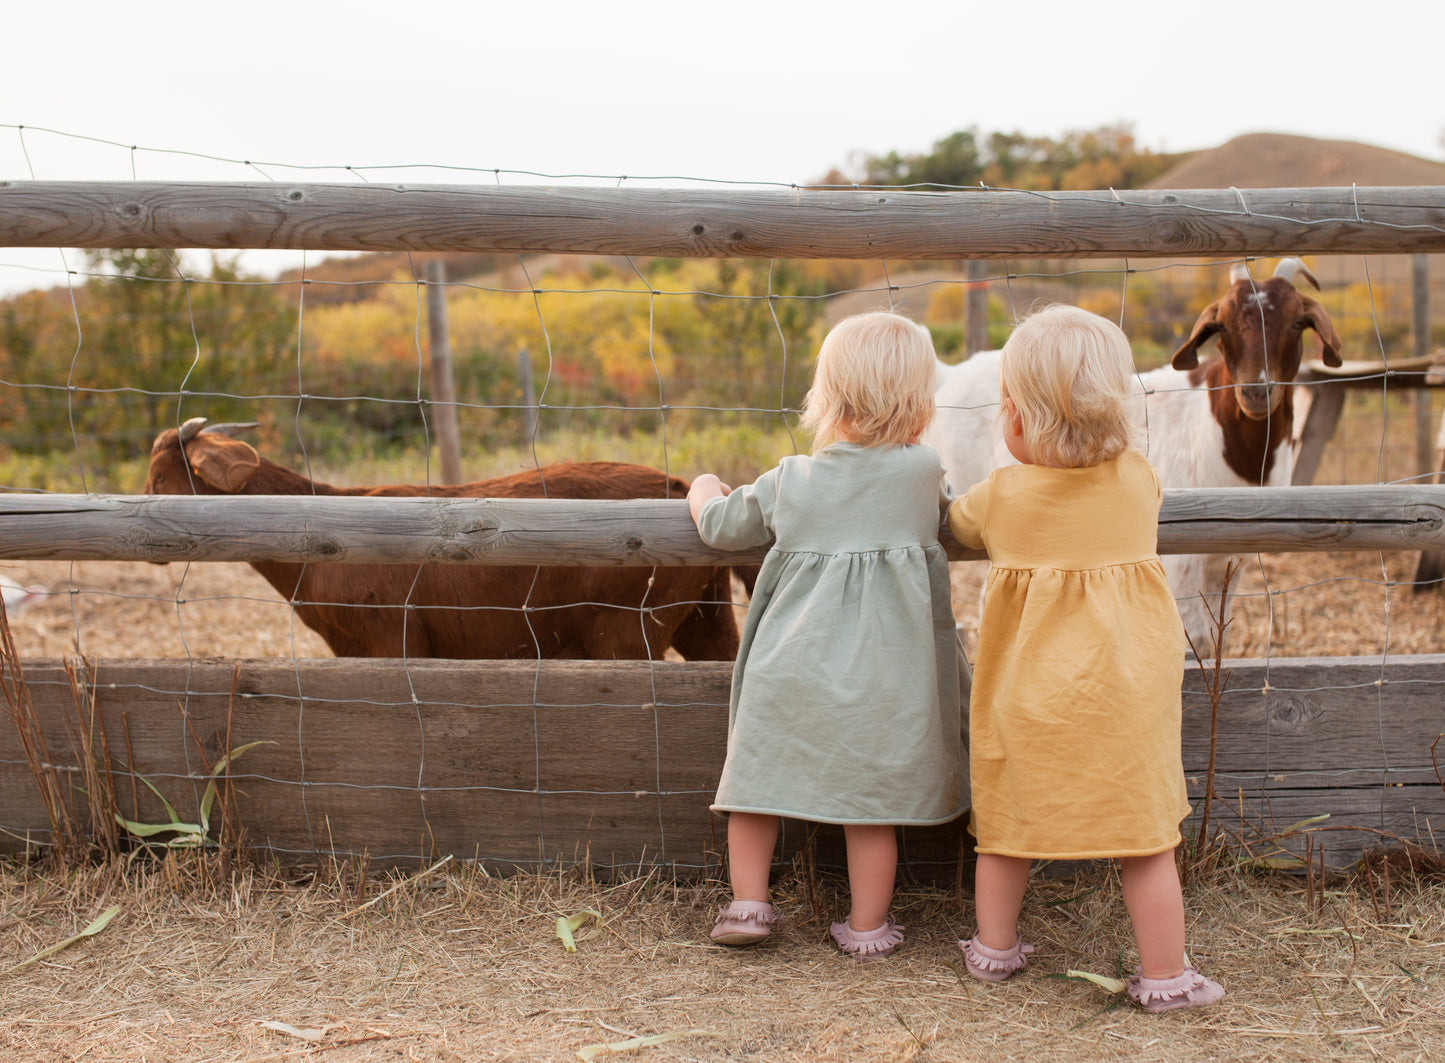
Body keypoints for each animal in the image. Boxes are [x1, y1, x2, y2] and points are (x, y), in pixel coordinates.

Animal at [924, 259, 1340, 655]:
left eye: (1296, 322)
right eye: (1222, 326)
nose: (1255, 392)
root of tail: (948, 375)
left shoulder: (1229, 559)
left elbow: (1212, 637)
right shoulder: (1182, 559)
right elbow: (1192, 638)